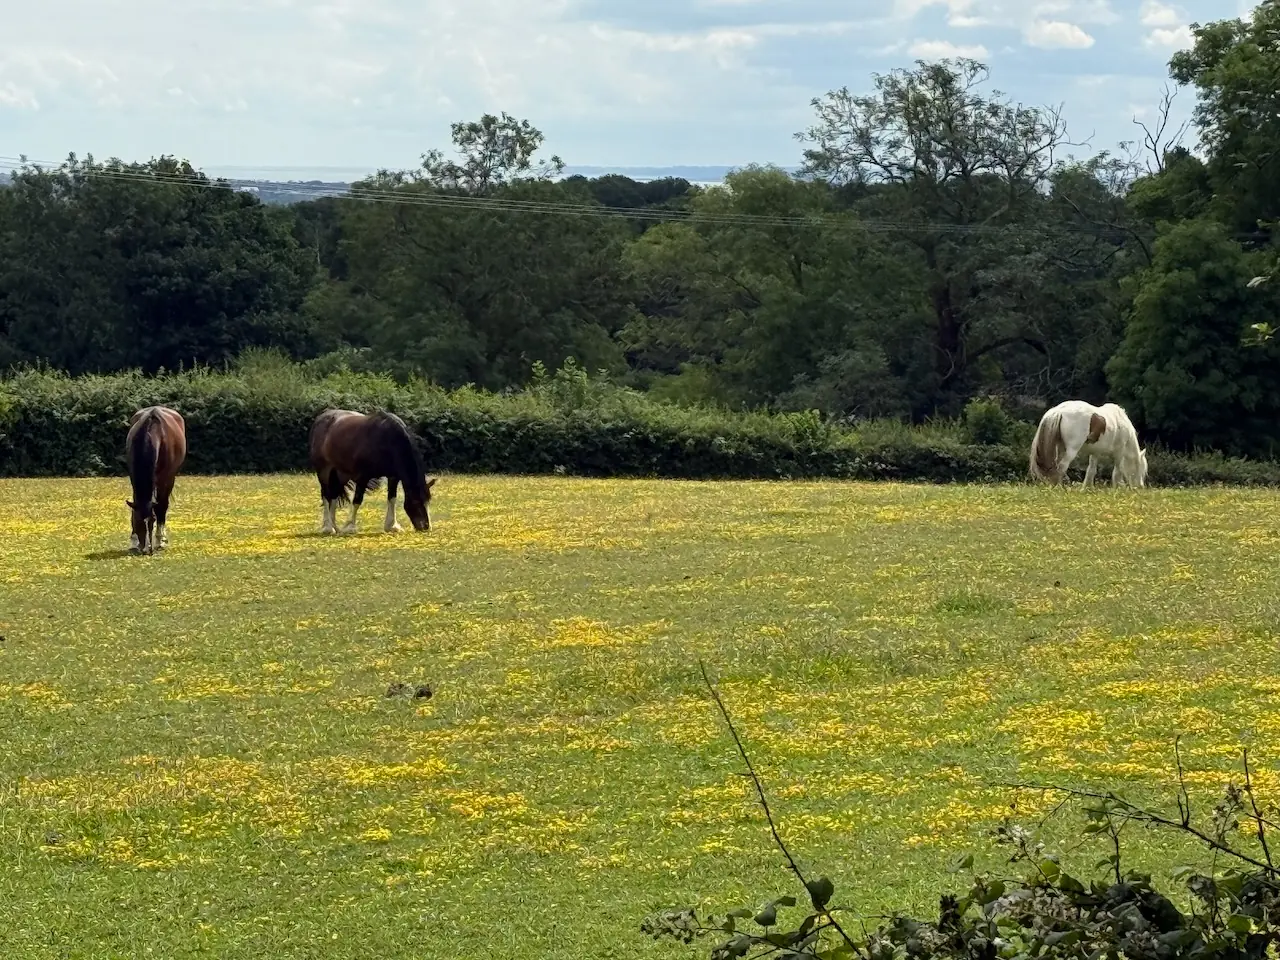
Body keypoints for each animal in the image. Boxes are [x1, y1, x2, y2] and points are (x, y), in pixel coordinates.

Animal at [125, 405, 187, 554]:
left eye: (152, 521)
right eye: (137, 521)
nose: (146, 549)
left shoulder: (166, 478)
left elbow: (161, 506)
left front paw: (160, 540)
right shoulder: (133, 475)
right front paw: (134, 541)